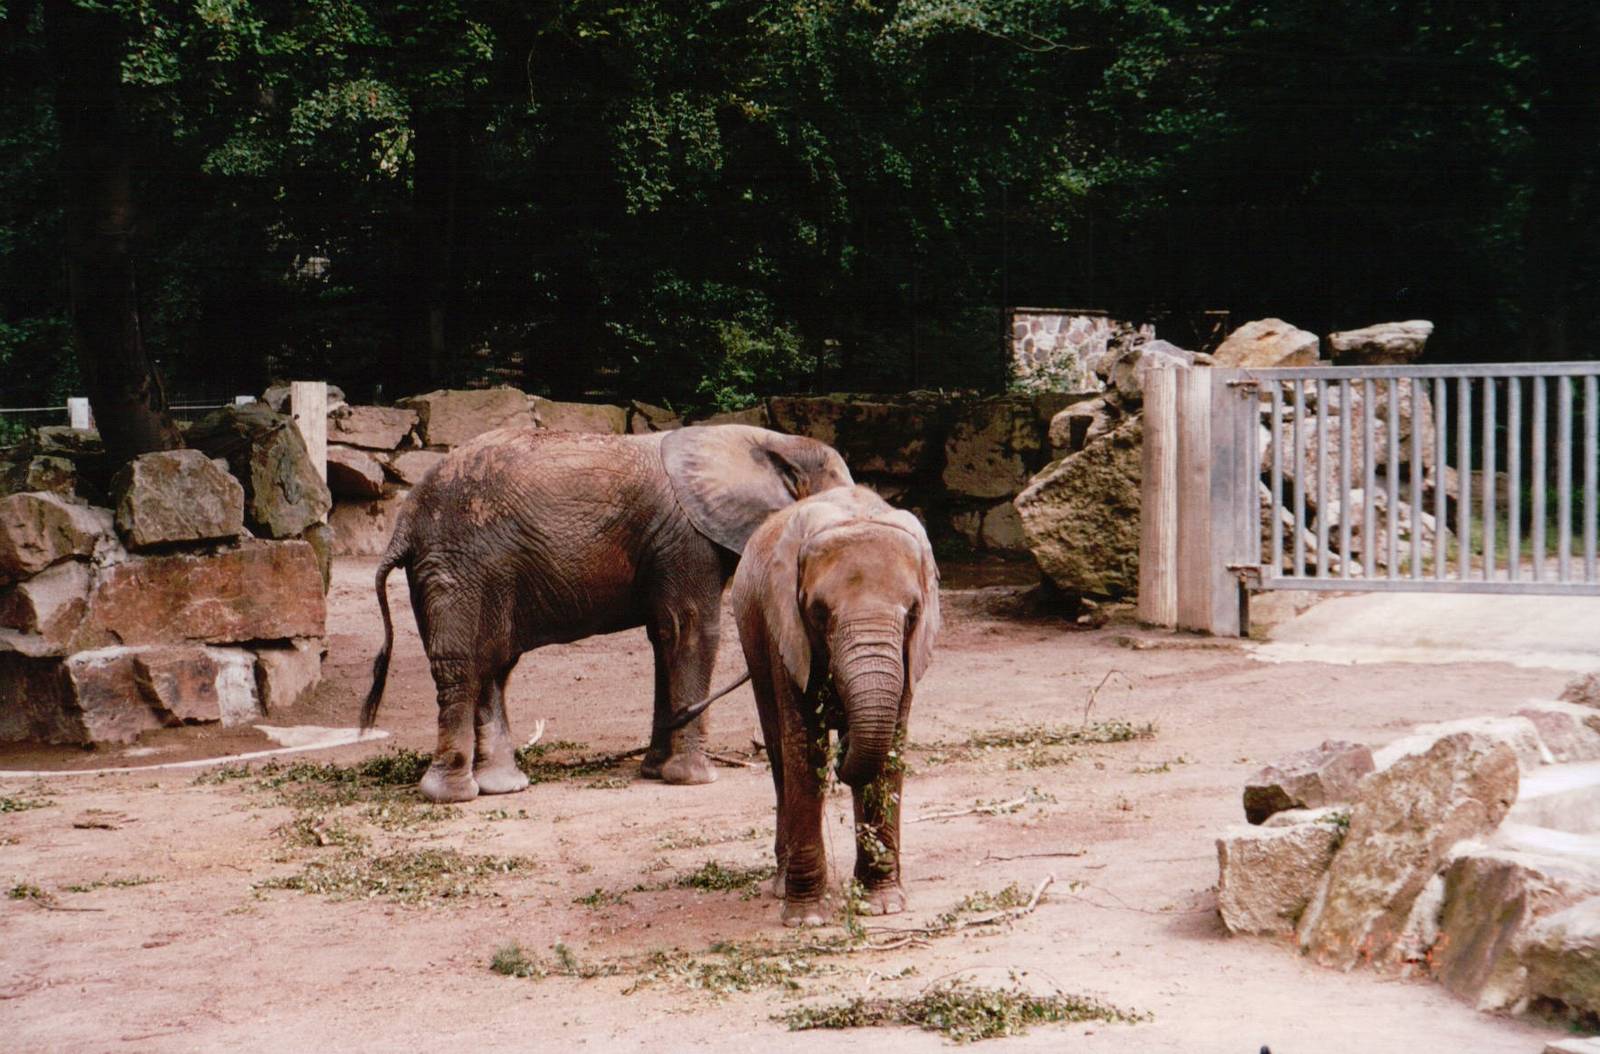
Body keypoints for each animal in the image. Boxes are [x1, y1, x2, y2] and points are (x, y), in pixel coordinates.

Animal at [361, 424, 853, 804]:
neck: (771, 441)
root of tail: (405, 519)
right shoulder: (685, 540)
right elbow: (692, 631)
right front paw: (695, 779)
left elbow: (665, 636)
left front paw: (655, 772)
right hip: (456, 565)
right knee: (462, 666)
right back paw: (453, 795)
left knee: (493, 667)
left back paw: (504, 786)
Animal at [728, 484, 941, 927]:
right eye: (819, 613)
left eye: (913, 613)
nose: (844, 743)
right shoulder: (785, 633)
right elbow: (805, 749)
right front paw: (807, 919)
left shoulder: (910, 654)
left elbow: (890, 751)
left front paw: (882, 906)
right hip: (751, 634)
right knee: (779, 754)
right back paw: (780, 886)